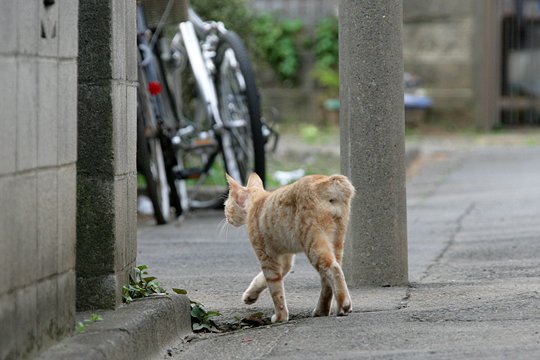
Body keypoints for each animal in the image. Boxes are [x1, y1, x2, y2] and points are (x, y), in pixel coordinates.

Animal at [224, 173, 354, 322]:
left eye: (226, 205)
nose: (226, 216)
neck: (256, 202)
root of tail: (328, 179)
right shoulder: (284, 259)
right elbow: (262, 279)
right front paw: (251, 295)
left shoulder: (266, 257)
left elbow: (275, 290)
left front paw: (281, 316)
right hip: (336, 242)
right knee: (327, 279)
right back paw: (322, 310)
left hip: (313, 243)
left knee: (333, 268)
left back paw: (344, 303)